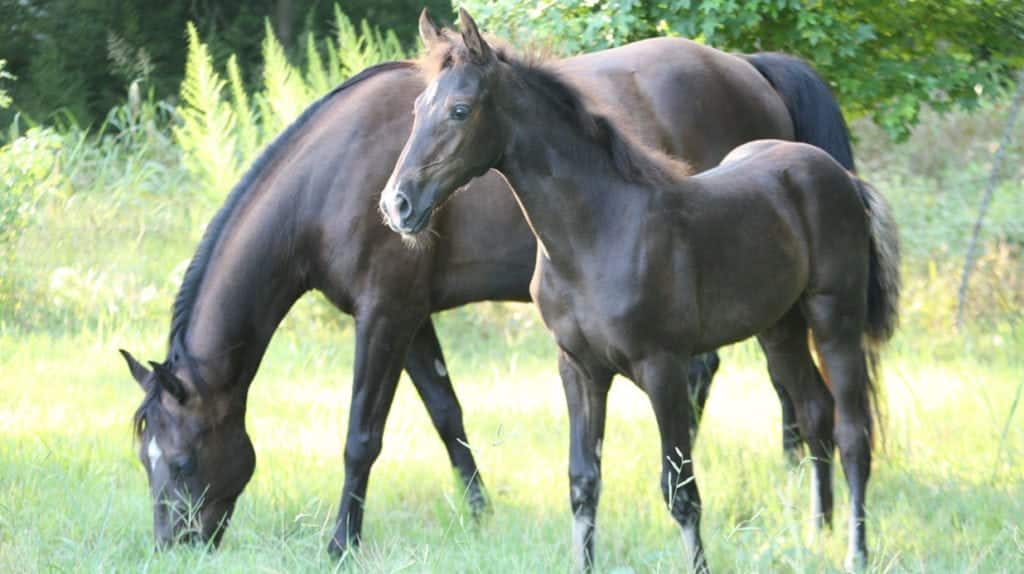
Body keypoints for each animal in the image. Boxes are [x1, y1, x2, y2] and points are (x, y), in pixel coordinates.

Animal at [116, 10, 860, 556]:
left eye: (179, 461)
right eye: (144, 459)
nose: (174, 545)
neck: (333, 175)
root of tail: (751, 69)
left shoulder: (384, 314)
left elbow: (362, 436)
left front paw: (341, 544)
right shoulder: (412, 317)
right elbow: (448, 417)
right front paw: (481, 515)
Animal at [380, 10, 901, 572]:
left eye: (460, 110)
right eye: (417, 108)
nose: (397, 204)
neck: (597, 233)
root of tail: (839, 175)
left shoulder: (664, 367)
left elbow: (681, 491)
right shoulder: (579, 369)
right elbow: (583, 483)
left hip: (835, 318)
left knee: (853, 433)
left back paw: (855, 551)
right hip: (779, 328)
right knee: (814, 411)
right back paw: (815, 533)